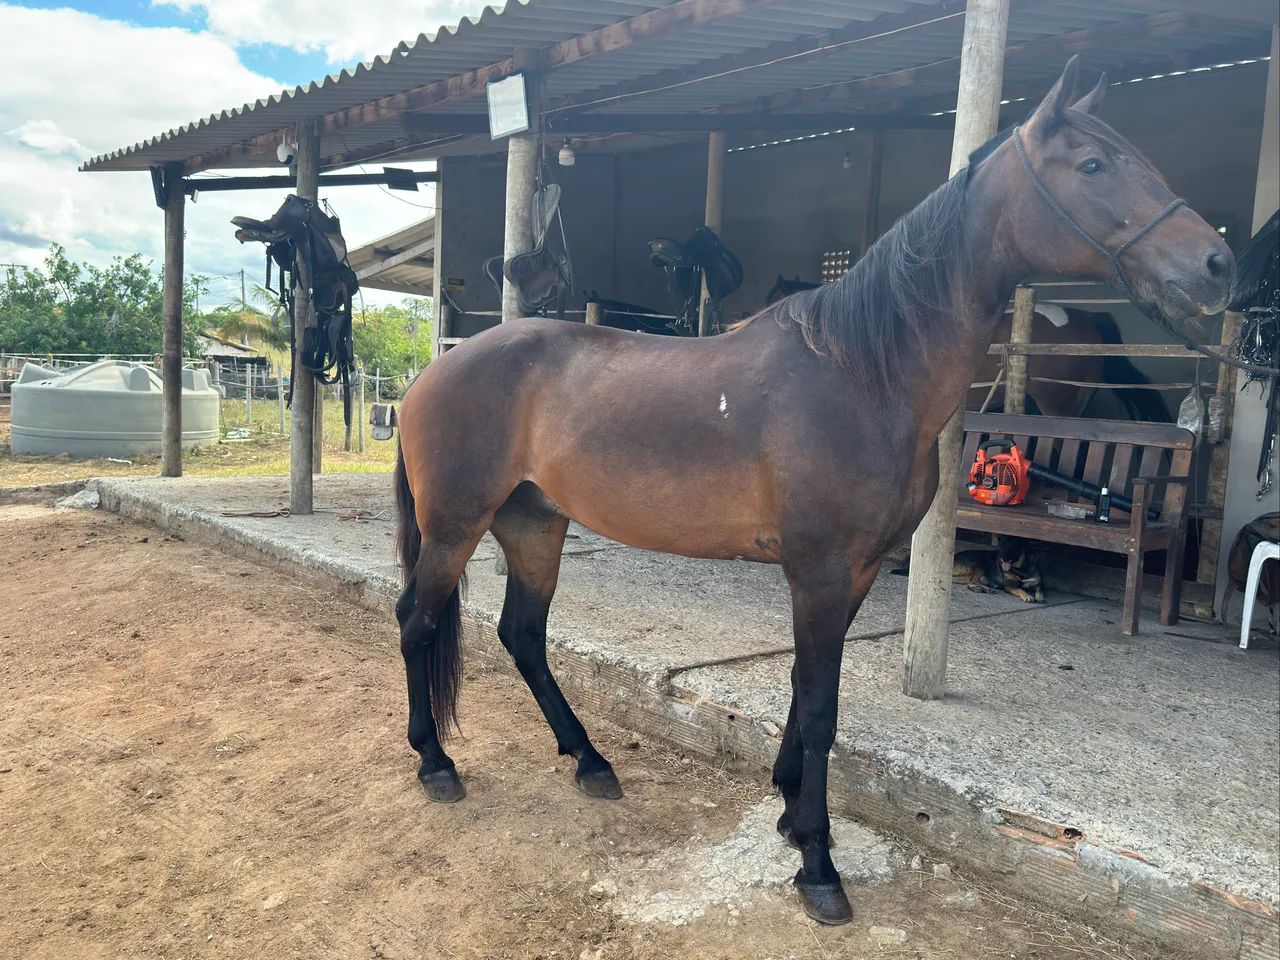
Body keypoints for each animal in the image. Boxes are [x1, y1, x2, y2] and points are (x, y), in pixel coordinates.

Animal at [391, 58, 1232, 925]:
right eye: (1094, 165)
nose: (1216, 266)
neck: (862, 373)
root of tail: (429, 374)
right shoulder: (821, 571)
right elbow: (823, 708)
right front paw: (821, 866)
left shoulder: (853, 572)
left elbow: (805, 694)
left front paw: (793, 815)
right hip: (457, 528)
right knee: (417, 621)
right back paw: (435, 762)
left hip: (534, 524)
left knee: (523, 634)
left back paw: (590, 760)